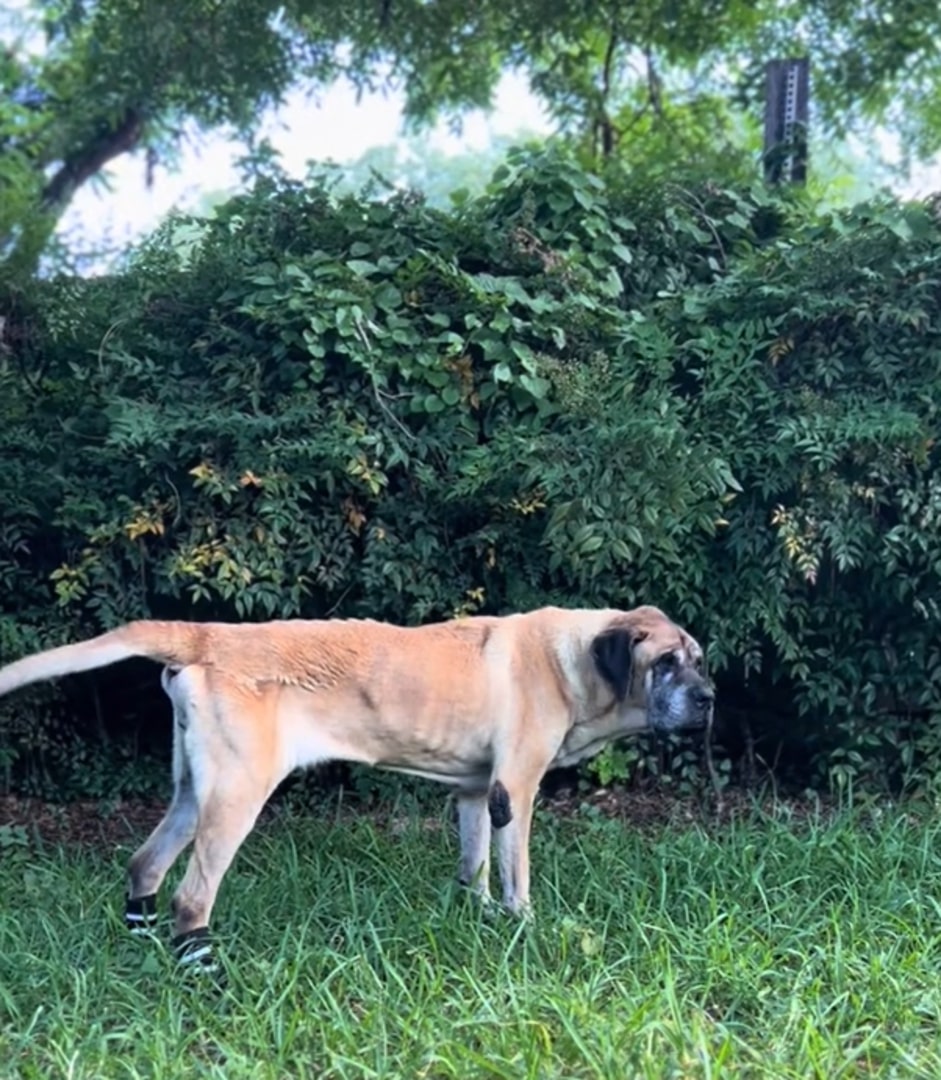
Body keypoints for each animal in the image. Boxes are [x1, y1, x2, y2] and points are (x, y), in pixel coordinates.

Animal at [0, 609, 713, 972]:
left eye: (699, 660)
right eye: (665, 663)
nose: (710, 699)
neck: (574, 659)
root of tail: (209, 634)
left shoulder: (475, 795)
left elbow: (475, 866)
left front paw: (479, 917)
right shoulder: (516, 789)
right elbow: (518, 877)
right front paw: (524, 929)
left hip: (191, 793)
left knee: (145, 865)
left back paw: (145, 949)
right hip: (236, 796)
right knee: (190, 896)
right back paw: (205, 974)